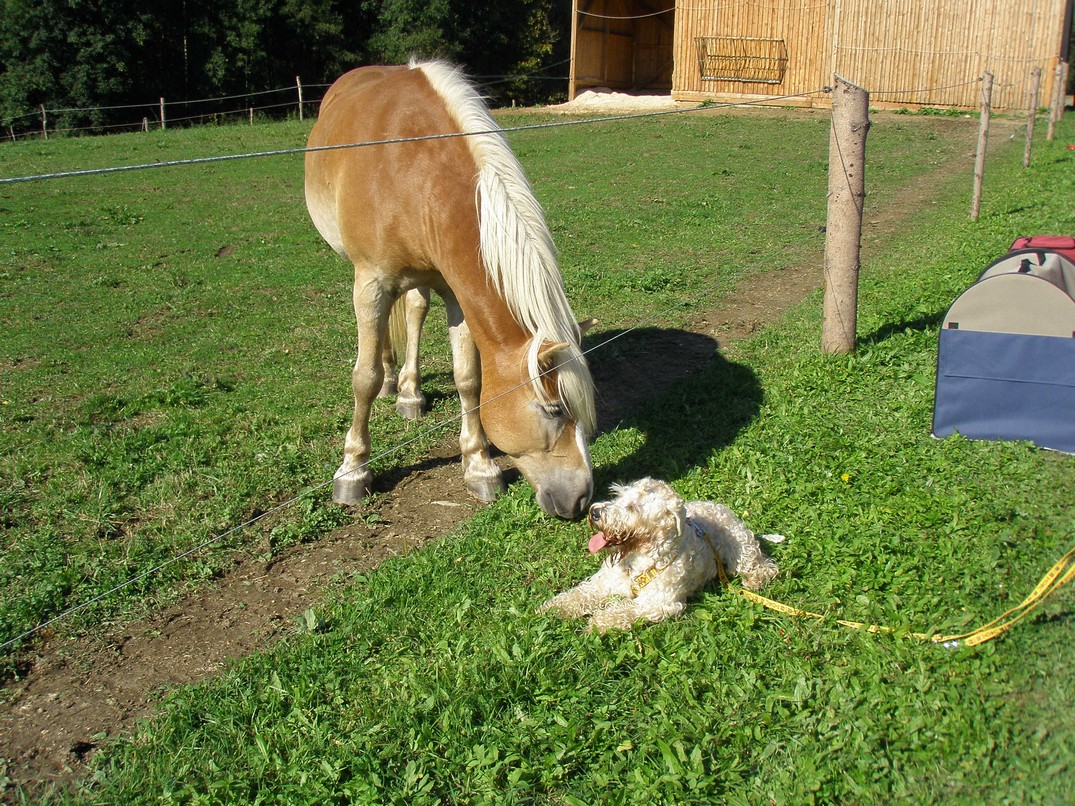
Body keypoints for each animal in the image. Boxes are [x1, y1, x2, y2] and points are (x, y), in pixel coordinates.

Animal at [303, 59, 597, 520]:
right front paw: (352, 470)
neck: (412, 170)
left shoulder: (457, 293)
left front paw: (479, 465)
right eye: (553, 409)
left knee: (414, 310)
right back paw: (392, 381)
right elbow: (363, 378)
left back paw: (409, 391)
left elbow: (469, 378)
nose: (582, 499)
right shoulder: (370, 282)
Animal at [537, 477, 782, 636]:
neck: (637, 559)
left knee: (764, 566)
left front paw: (599, 622)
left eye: (633, 507)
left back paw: (755, 581)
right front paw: (554, 608)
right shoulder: (603, 583)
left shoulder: (659, 602)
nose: (595, 512)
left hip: (741, 549)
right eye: (618, 496)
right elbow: (579, 595)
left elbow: (625, 610)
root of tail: (722, 508)